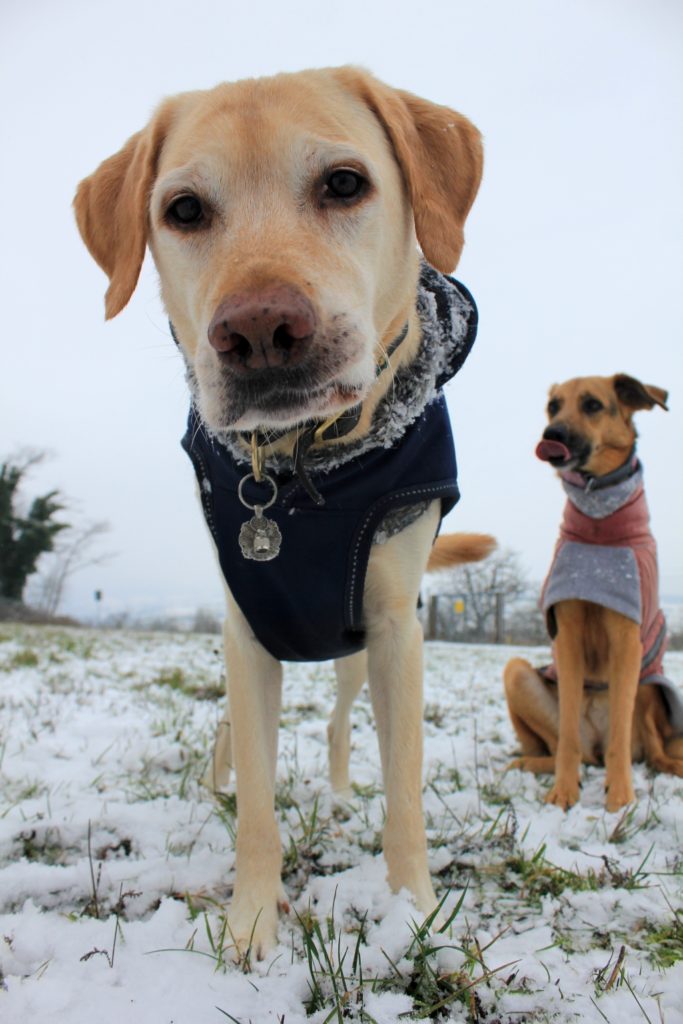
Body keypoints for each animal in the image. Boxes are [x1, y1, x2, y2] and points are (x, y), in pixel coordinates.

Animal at [74, 68, 489, 954]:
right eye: (184, 209)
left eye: (344, 183)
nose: (260, 330)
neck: (297, 466)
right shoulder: (244, 626)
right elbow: (259, 804)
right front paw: (249, 927)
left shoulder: (396, 629)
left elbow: (405, 791)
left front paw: (411, 913)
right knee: (231, 731)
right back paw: (216, 786)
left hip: (355, 651)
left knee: (336, 725)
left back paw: (337, 797)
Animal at [501, 372, 683, 811]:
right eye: (553, 406)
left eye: (593, 405)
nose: (551, 434)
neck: (600, 521)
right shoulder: (567, 635)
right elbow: (567, 733)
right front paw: (564, 792)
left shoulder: (628, 640)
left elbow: (620, 730)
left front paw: (620, 798)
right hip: (516, 672)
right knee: (570, 748)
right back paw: (531, 765)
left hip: (650, 685)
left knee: (652, 752)